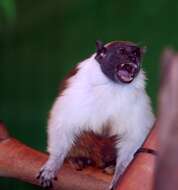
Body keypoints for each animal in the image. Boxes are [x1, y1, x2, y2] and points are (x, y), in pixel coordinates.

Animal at [36, 40, 155, 189]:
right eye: (122, 52)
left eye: (136, 54)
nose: (133, 58)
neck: (113, 86)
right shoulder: (78, 91)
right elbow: (63, 123)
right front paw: (53, 164)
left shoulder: (138, 102)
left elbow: (133, 137)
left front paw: (119, 175)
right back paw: (77, 159)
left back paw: (110, 166)